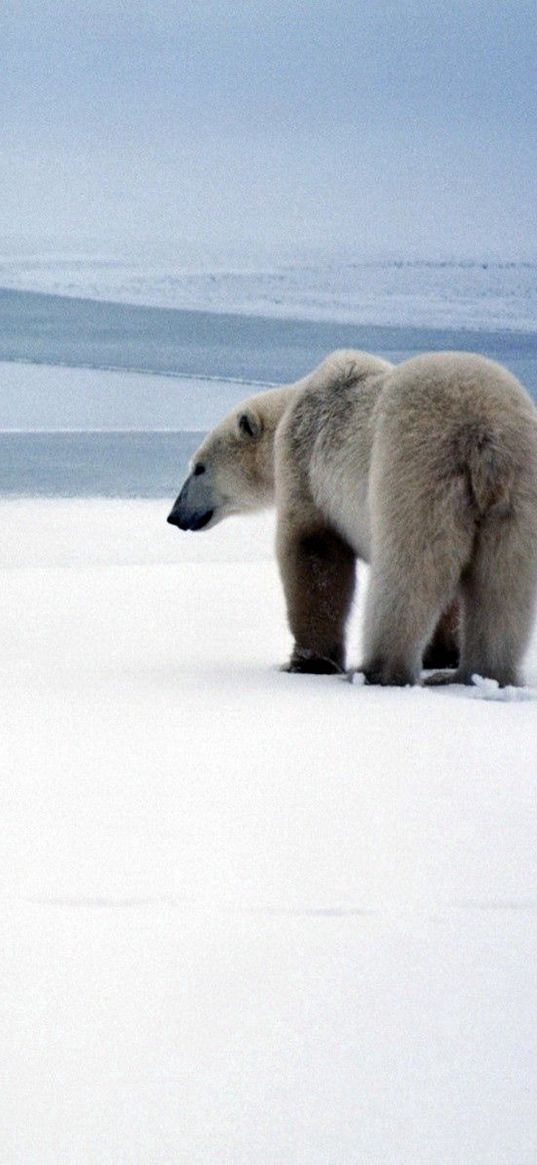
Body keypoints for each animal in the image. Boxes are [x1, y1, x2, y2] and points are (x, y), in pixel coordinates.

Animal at [166, 349, 535, 685]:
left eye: (198, 468)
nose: (174, 515)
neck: (291, 409)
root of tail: (483, 435)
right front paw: (441, 655)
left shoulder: (306, 464)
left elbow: (313, 552)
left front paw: (307, 662)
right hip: (517, 491)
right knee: (503, 584)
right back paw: (479, 674)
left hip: (415, 467)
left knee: (409, 570)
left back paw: (377, 670)